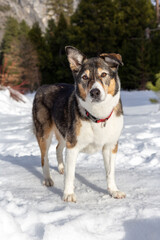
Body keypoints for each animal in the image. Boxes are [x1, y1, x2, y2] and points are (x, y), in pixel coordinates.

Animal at [31, 46, 125, 202]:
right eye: (85, 77)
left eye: (104, 74)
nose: (95, 92)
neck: (97, 116)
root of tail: (43, 87)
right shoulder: (73, 146)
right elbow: (71, 175)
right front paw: (68, 194)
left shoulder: (110, 146)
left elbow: (110, 172)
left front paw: (113, 191)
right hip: (44, 133)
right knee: (44, 158)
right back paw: (48, 179)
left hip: (64, 132)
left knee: (58, 148)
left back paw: (61, 168)